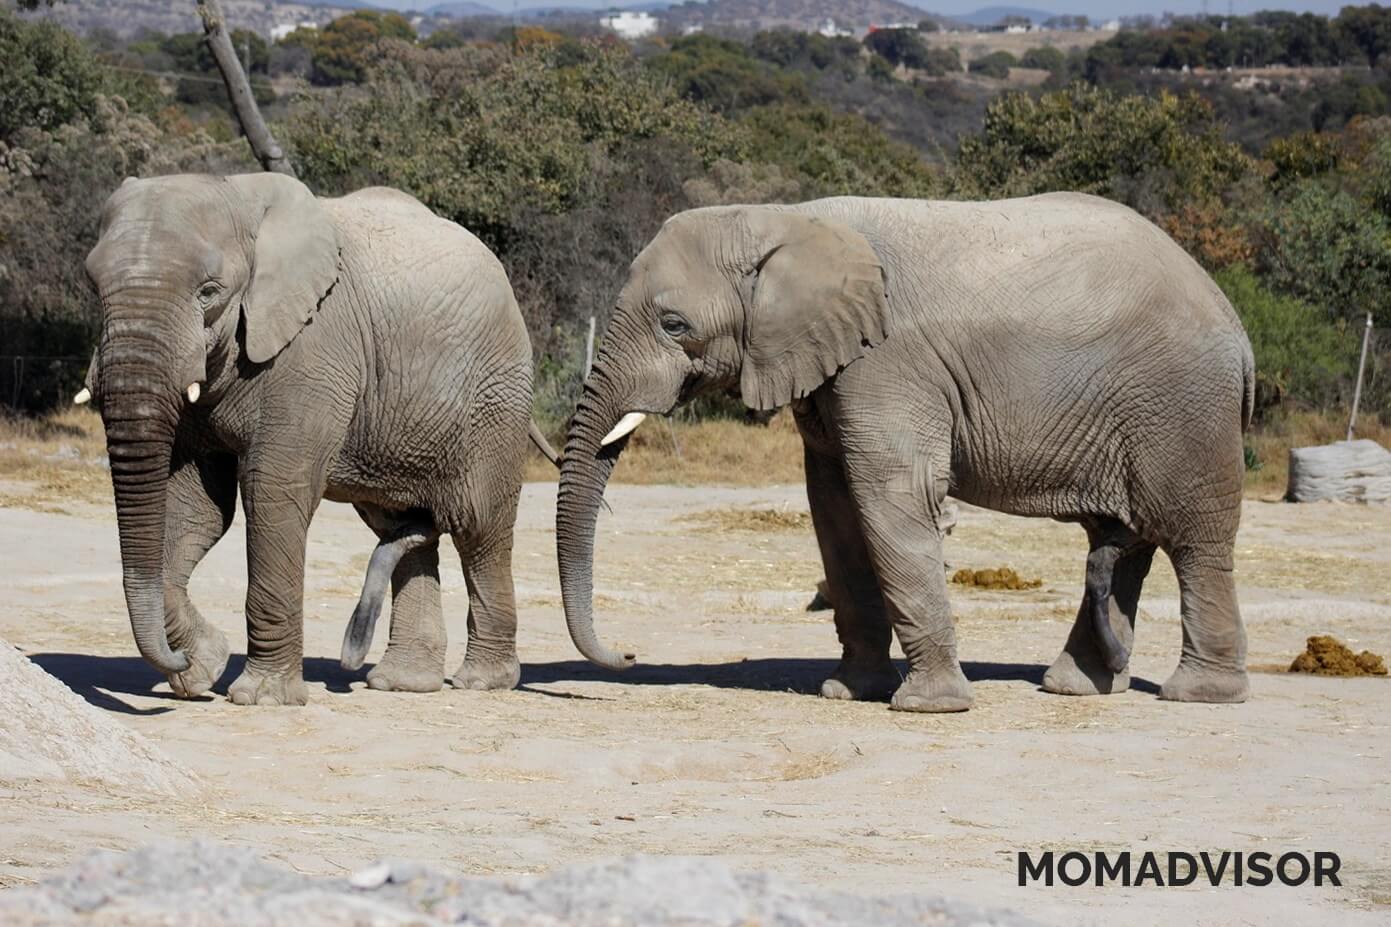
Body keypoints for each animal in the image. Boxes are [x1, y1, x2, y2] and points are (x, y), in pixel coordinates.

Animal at [82, 172, 542, 705]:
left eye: (209, 292)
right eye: (93, 286)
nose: (176, 660)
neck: (238, 193)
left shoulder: (312, 350)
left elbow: (272, 492)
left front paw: (260, 697)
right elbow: (194, 506)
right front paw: (202, 671)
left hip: (496, 397)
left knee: (479, 527)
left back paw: (481, 681)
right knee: (400, 526)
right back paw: (401, 684)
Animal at [554, 193, 1256, 712]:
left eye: (674, 325)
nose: (628, 655)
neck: (787, 219)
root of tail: (1236, 323)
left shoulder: (888, 361)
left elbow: (891, 493)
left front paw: (927, 707)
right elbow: (835, 507)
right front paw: (847, 692)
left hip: (1186, 410)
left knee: (1193, 540)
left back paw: (1198, 695)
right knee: (1121, 545)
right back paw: (1076, 688)